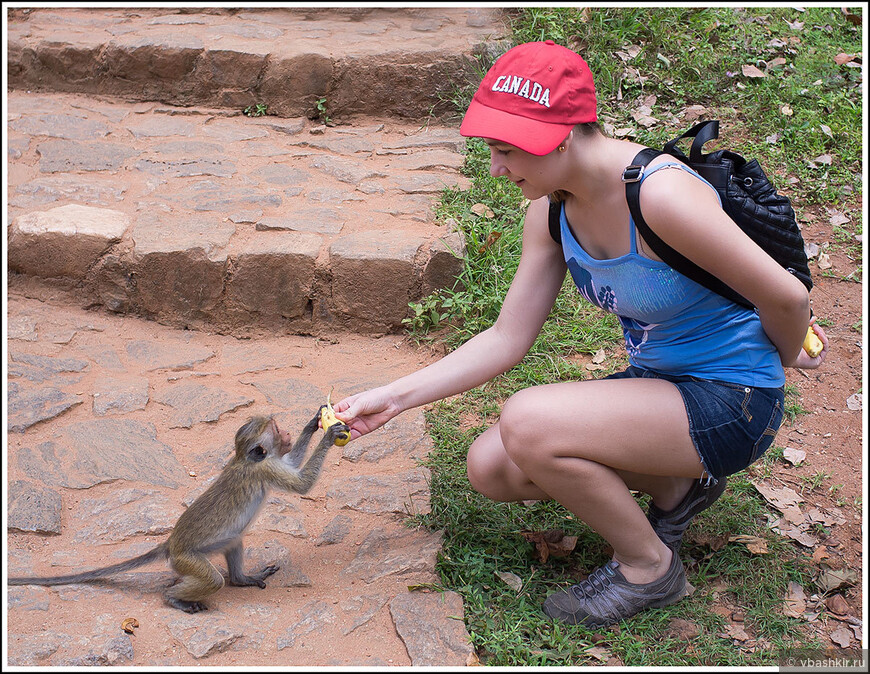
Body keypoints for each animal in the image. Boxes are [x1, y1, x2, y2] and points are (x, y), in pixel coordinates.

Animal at [9, 406, 350, 612]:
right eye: (277, 430)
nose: (287, 434)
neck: (246, 459)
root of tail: (171, 544)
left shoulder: (272, 463)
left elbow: (293, 463)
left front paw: (312, 424)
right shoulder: (265, 469)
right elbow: (302, 484)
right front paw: (328, 435)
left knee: (235, 541)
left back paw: (241, 579)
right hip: (187, 560)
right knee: (212, 580)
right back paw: (175, 598)